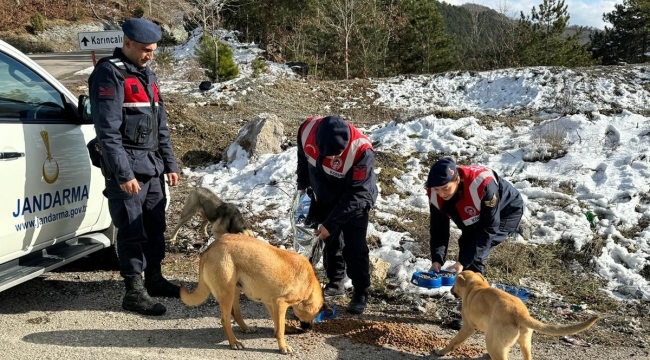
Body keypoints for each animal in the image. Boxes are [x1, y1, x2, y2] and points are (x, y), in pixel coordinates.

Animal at [178, 232, 326, 352]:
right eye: (315, 315)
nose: (308, 328)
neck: (309, 284)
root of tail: (210, 248)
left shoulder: (271, 303)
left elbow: (278, 323)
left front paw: (285, 330)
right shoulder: (281, 303)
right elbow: (280, 329)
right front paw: (283, 346)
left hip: (235, 289)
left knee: (235, 312)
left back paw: (245, 328)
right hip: (227, 293)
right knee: (225, 320)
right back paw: (234, 342)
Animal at [436, 270, 596, 360]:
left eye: (454, 283)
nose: (450, 290)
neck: (476, 286)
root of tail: (520, 314)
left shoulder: (468, 327)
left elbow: (453, 342)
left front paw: (441, 352)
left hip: (492, 341)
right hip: (524, 343)